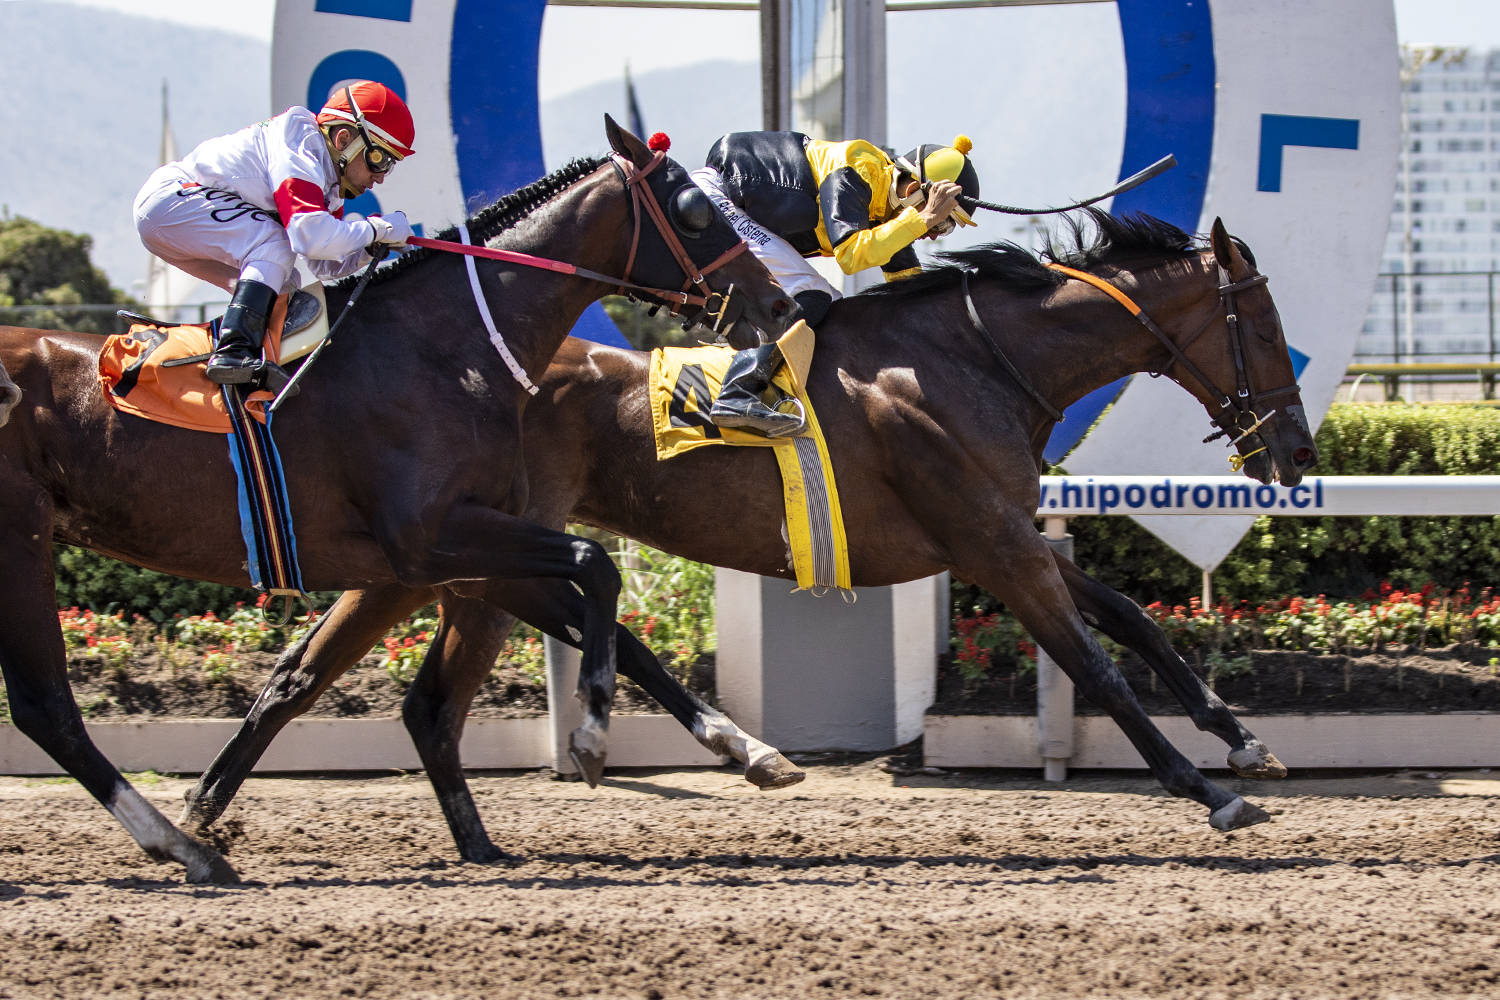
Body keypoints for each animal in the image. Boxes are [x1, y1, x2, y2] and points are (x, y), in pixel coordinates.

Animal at [0, 119, 797, 883]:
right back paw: (183, 846)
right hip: (23, 534)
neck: (442, 347)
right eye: (696, 210)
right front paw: (593, 735)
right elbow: (595, 563)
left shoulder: (465, 554)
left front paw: (748, 748)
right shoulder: (431, 536)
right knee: (46, 707)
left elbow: (614, 621)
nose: (780, 302)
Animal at [177, 210, 1319, 862]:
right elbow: (1094, 661)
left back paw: (204, 815)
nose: (1296, 453)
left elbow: (1130, 617)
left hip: (427, 559)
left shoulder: (999, 532)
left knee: (318, 680)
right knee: (414, 679)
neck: (975, 359)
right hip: (463, 550)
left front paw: (1244, 739)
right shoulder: (991, 540)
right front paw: (1207, 790)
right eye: (1263, 325)